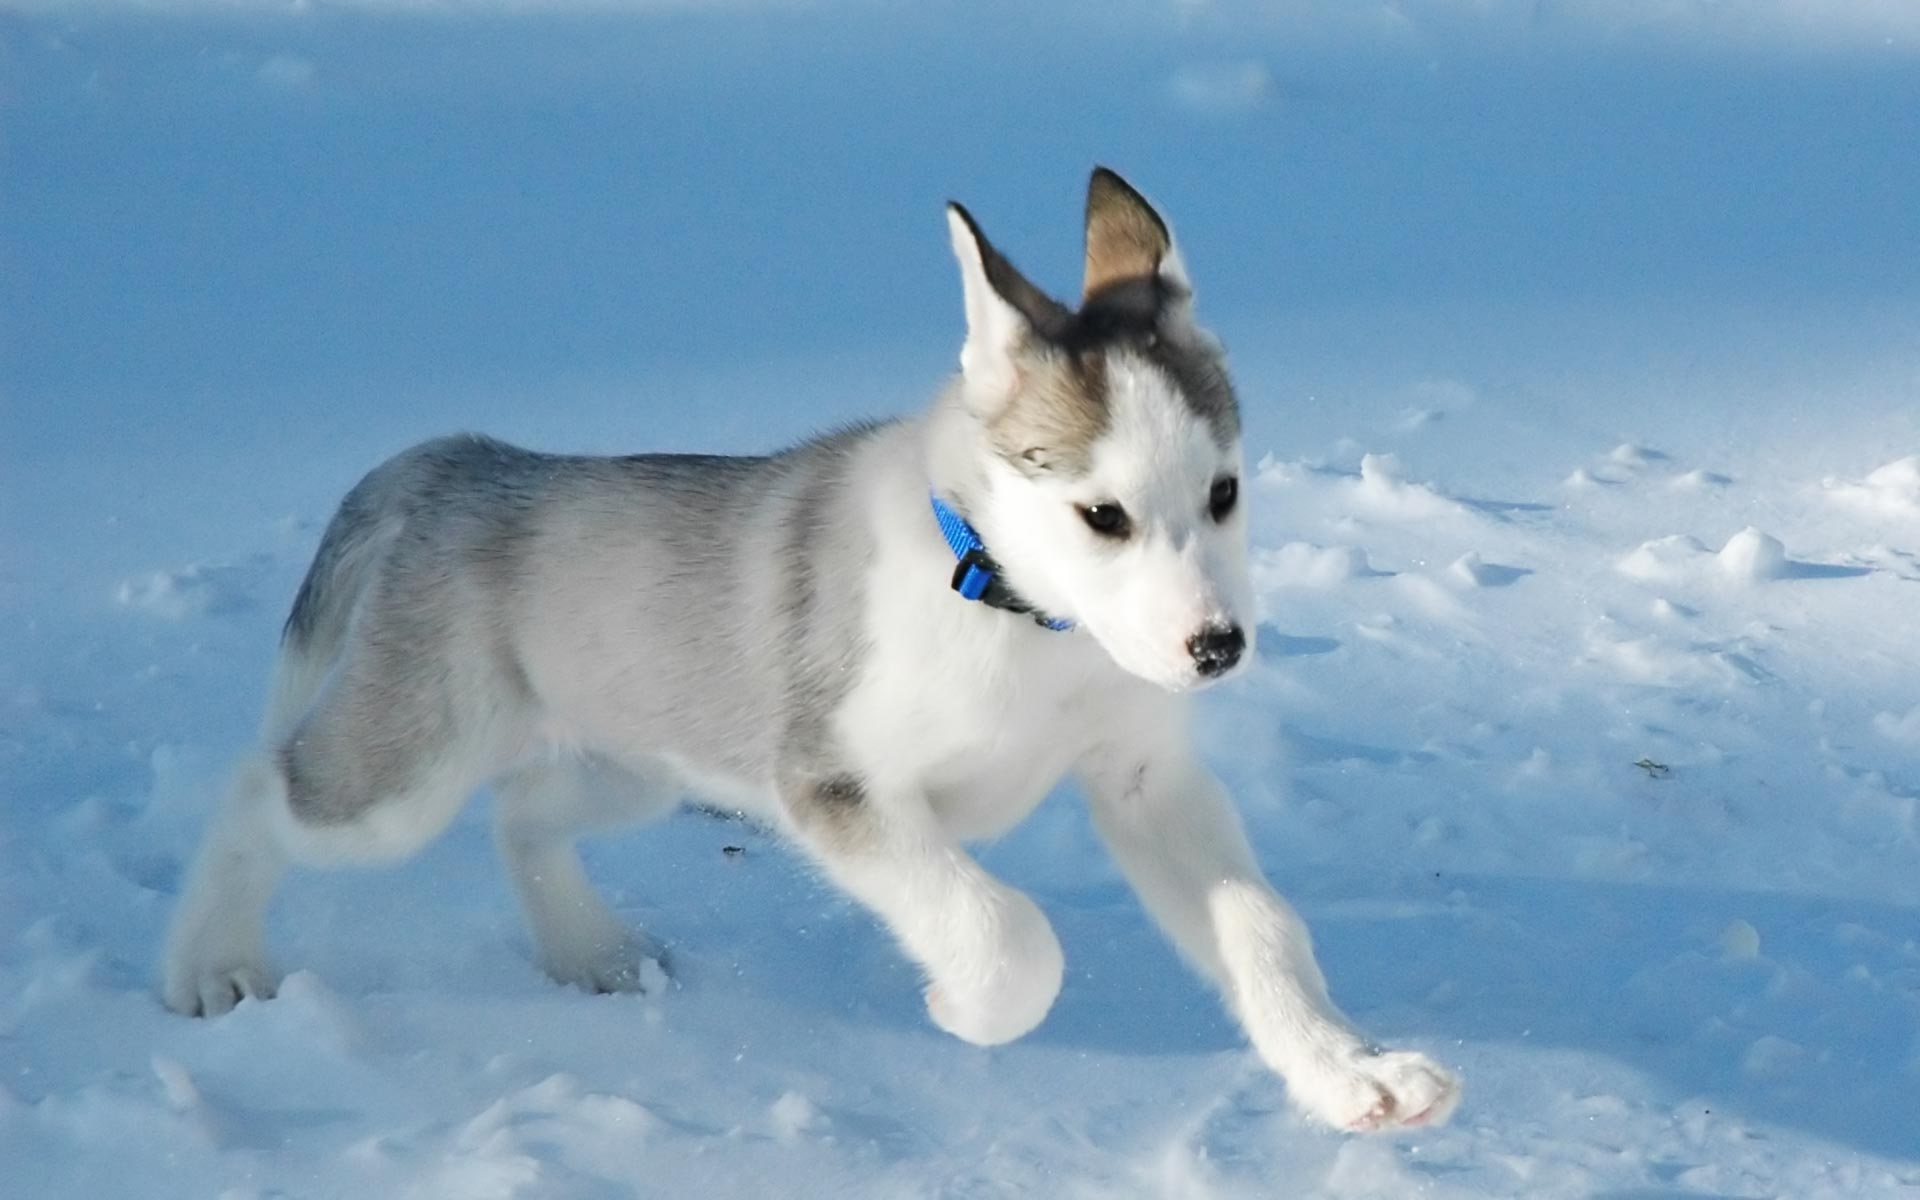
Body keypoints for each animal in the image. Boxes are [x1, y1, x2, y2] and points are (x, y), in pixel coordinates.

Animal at [161, 168, 1451, 1128]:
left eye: (1225, 493)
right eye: (1103, 516)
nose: (1218, 648)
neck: (1013, 611)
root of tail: (460, 460)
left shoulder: (1145, 780)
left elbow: (1263, 930)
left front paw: (1352, 1074)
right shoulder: (833, 784)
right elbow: (1006, 933)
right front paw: (963, 1011)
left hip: (635, 757)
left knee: (520, 811)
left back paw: (589, 952)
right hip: (405, 775)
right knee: (260, 787)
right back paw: (210, 967)